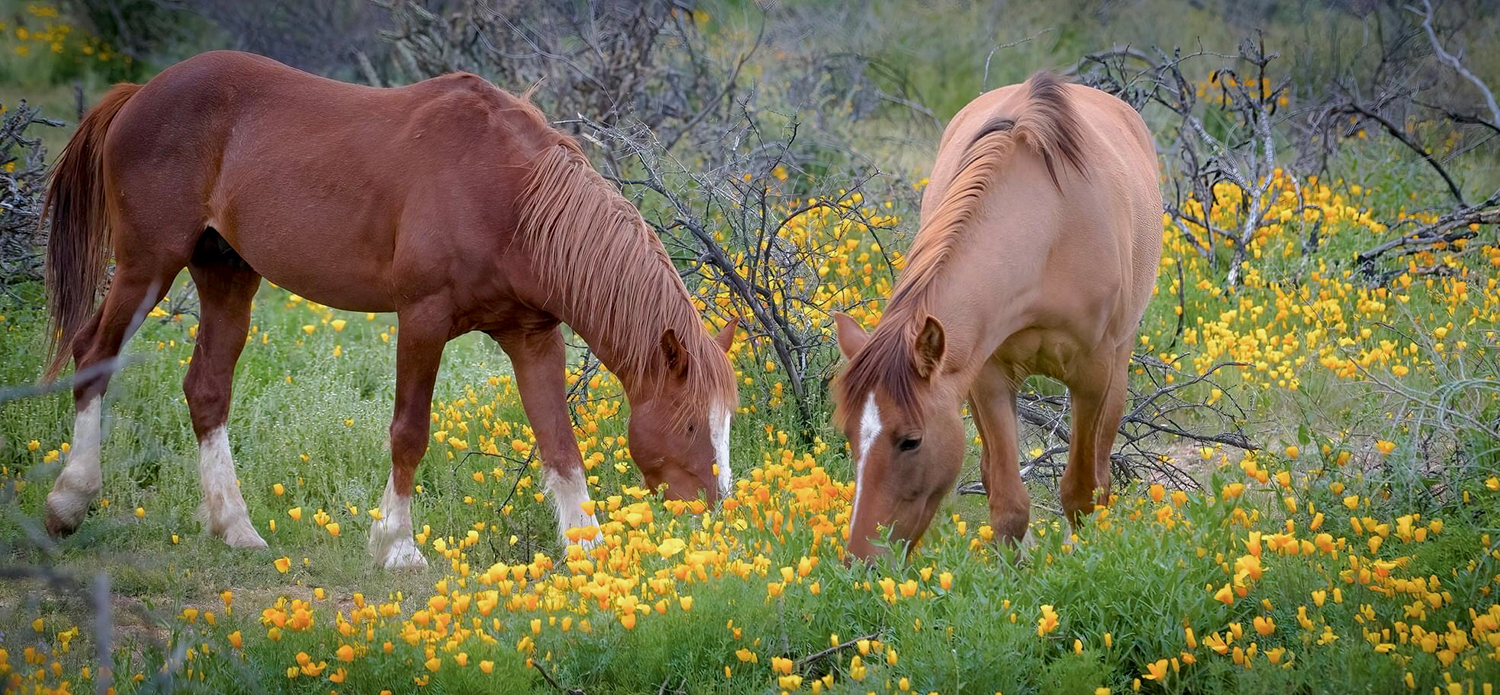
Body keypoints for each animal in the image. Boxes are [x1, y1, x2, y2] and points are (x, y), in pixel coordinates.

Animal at [35, 51, 738, 567]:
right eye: (690, 426)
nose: (715, 511)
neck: (510, 196)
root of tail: (140, 93)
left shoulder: (533, 335)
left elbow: (560, 444)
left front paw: (587, 550)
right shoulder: (422, 319)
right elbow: (410, 432)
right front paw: (397, 546)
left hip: (226, 275)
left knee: (207, 388)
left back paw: (236, 528)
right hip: (147, 265)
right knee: (93, 355)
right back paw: (68, 503)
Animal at [834, 72, 1158, 561]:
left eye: (911, 440)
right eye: (850, 436)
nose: (860, 561)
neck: (1049, 229)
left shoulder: (1093, 375)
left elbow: (1081, 491)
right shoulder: (986, 375)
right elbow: (1007, 503)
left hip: (1118, 365)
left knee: (1100, 472)